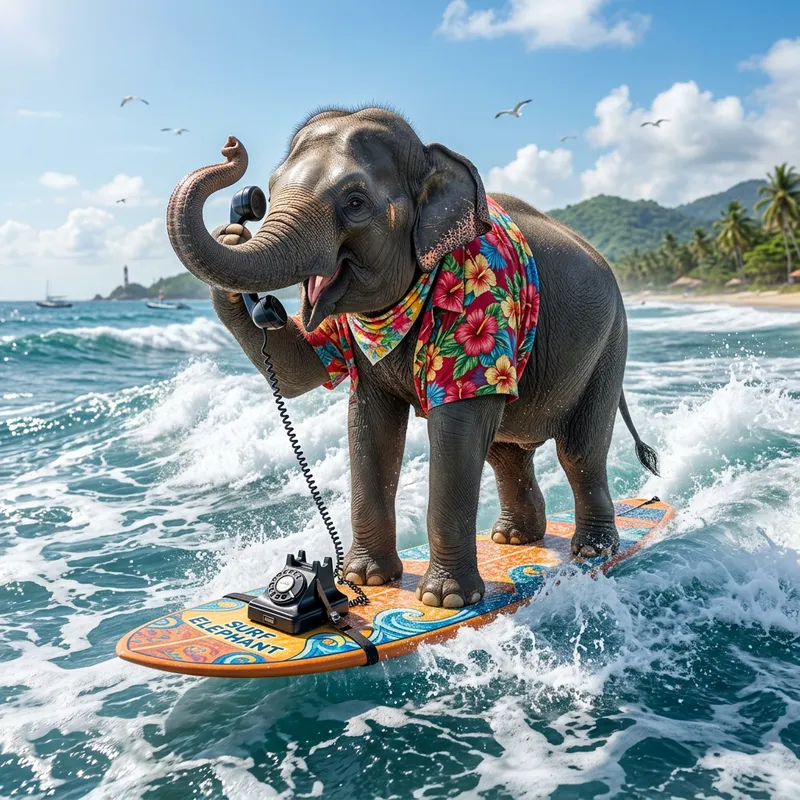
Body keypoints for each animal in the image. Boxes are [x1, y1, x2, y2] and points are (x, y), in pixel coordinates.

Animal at [165, 106, 659, 610]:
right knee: (505, 452)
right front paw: (365, 580)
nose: (231, 147)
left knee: (578, 450)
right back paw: (514, 540)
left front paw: (445, 601)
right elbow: (343, 404)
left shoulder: (484, 304)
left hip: (609, 345)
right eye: (271, 188)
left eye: (355, 202)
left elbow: (456, 428)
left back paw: (592, 549)